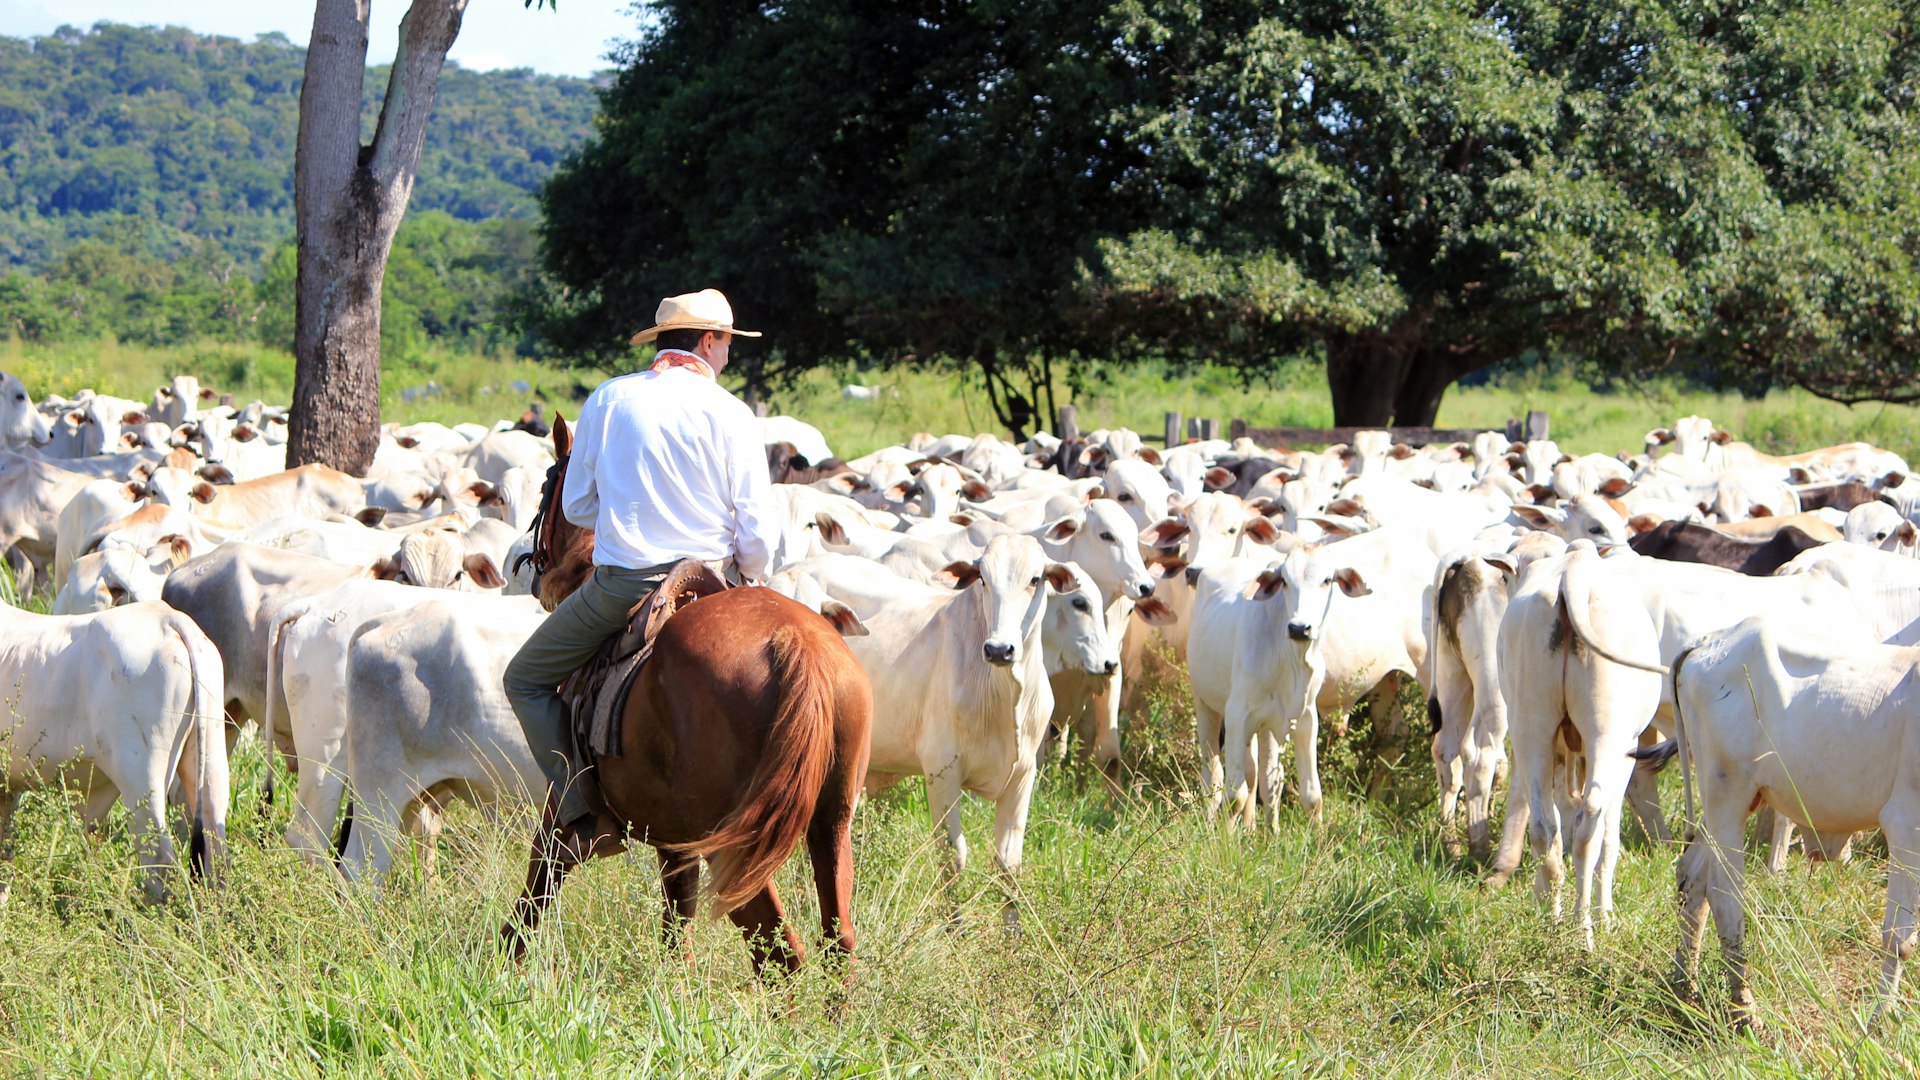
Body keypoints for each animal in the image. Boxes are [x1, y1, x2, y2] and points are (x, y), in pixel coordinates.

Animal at [500, 414, 874, 977]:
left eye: (547, 487)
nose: (533, 570)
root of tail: (797, 642)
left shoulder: (560, 814)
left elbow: (533, 897)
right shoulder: (675, 844)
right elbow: (677, 930)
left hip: (736, 846)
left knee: (780, 951)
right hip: (830, 824)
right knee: (837, 941)